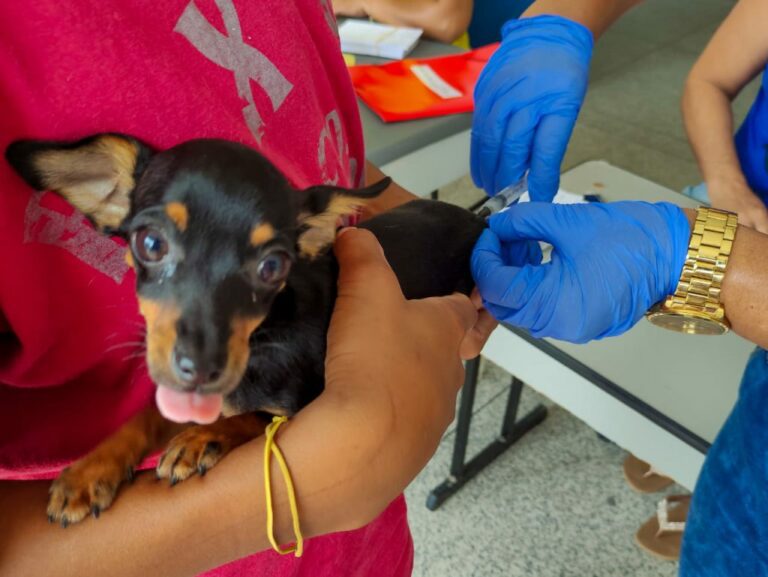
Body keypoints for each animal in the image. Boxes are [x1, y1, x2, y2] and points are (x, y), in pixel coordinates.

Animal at [6, 133, 484, 524]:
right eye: (150, 244)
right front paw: (88, 471)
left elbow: (251, 415)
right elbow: (144, 417)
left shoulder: (300, 404)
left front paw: (201, 438)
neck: (262, 338)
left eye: (272, 266)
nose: (201, 367)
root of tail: (477, 216)